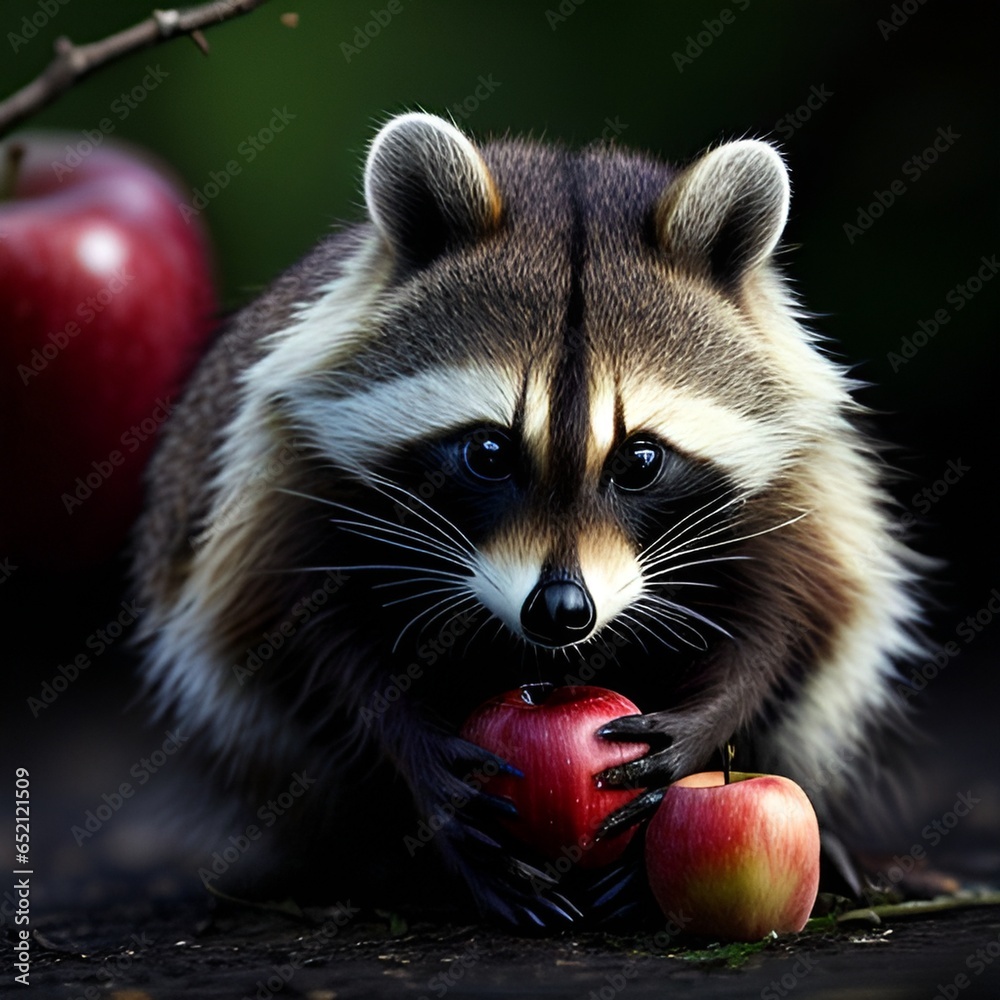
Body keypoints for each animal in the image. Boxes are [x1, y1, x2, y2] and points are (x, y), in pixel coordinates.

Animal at [133, 113, 922, 925]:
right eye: (489, 452)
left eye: (640, 460)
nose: (561, 612)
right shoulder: (287, 482)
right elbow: (299, 641)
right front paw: (413, 757)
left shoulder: (798, 488)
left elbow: (790, 623)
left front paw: (705, 724)